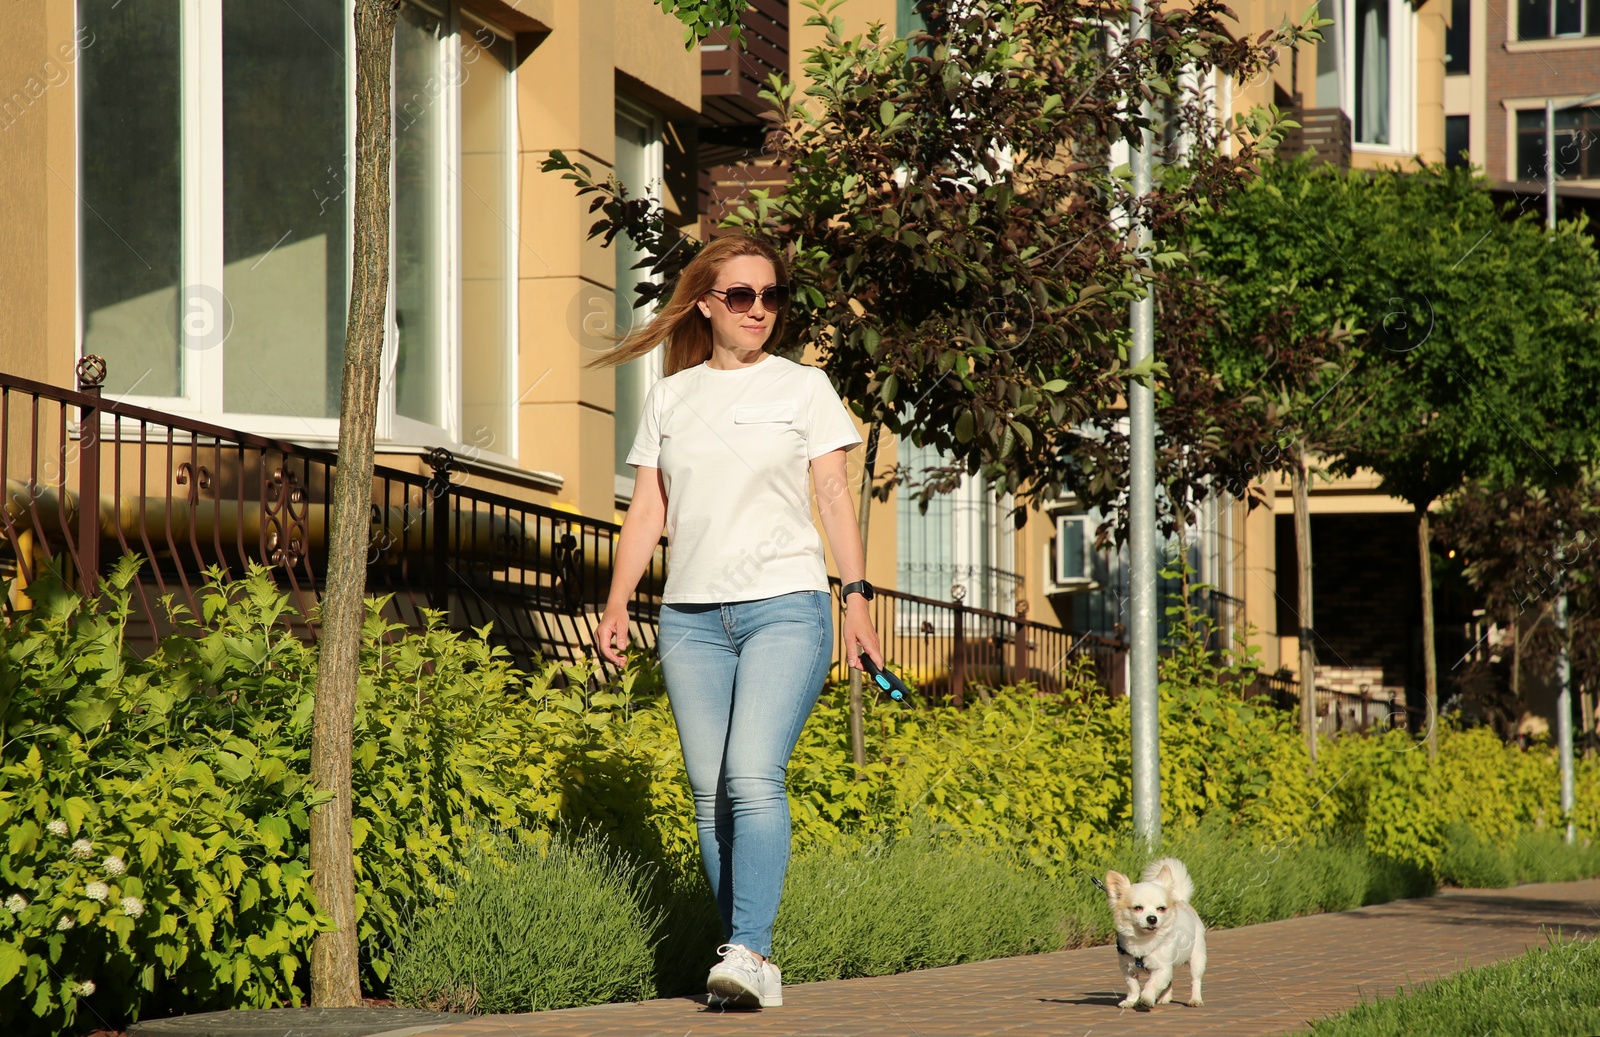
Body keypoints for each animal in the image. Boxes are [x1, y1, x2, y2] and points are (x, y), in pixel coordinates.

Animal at [1107, 857, 1203, 1011]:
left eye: (1161, 909)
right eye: (1137, 908)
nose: (1152, 918)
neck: (1143, 940)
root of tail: (1181, 901)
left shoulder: (1161, 969)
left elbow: (1151, 984)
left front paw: (1146, 999)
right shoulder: (1128, 969)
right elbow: (1133, 987)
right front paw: (1130, 1001)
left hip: (1197, 957)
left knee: (1195, 980)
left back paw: (1195, 999)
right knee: (1169, 981)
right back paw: (1165, 998)